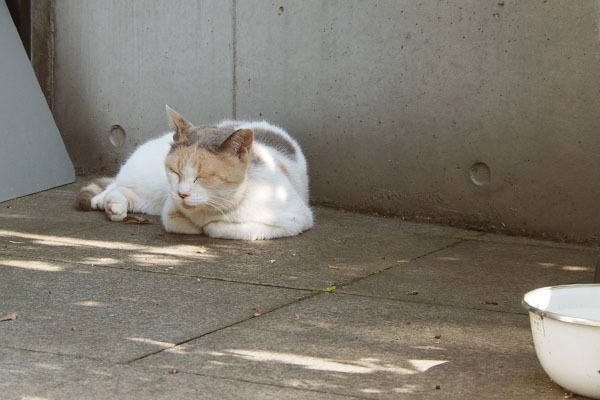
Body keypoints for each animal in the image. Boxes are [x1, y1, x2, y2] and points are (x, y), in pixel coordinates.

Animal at [76, 104, 314, 239]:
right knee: (114, 185)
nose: (182, 193)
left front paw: (208, 226)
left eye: (203, 177)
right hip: (152, 185)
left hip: (150, 199)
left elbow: (219, 228)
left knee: (125, 191)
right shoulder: (170, 205)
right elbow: (173, 220)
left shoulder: (295, 219)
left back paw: (113, 207)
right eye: (175, 172)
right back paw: (103, 202)